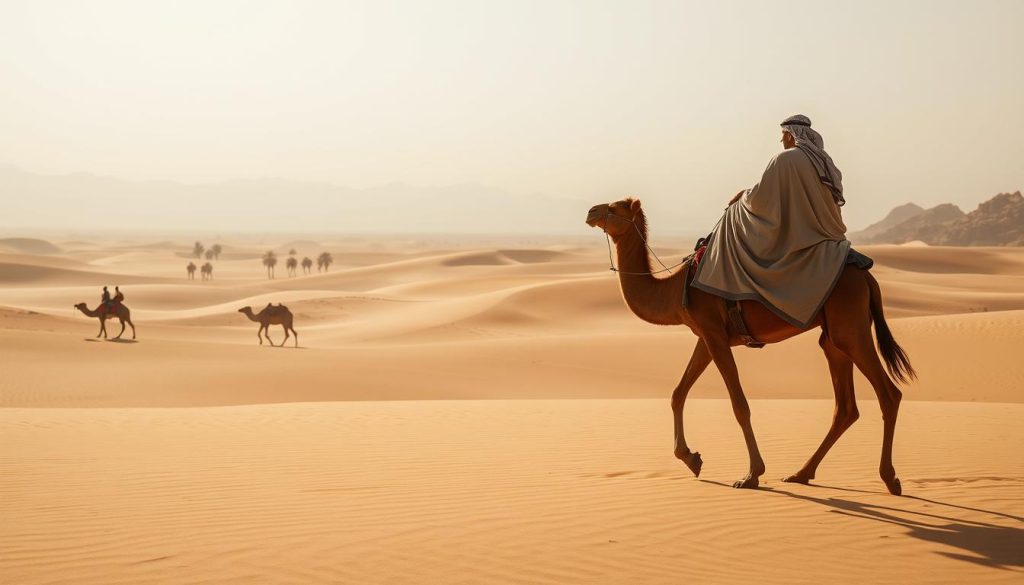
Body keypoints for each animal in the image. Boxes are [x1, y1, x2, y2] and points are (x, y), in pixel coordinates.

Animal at [586, 198, 914, 495]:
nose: (591, 211)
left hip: (851, 328)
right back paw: (801, 473)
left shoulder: (714, 334)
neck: (675, 289)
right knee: (845, 408)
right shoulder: (706, 335)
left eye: (614, 207)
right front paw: (692, 459)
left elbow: (739, 405)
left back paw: (890, 478)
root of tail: (868, 278)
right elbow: (678, 393)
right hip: (833, 336)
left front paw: (751, 475)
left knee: (889, 394)